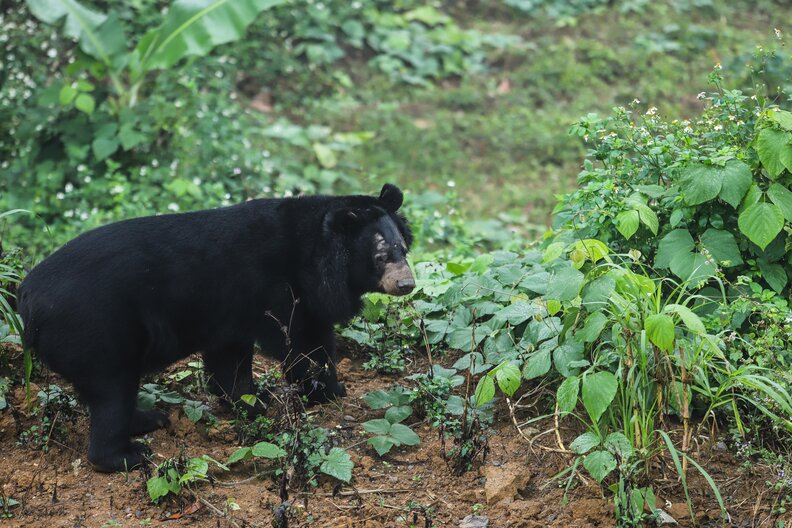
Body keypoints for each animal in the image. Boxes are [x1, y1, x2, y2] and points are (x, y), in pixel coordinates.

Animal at [18, 183, 414, 472]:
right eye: (381, 256)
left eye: (404, 249)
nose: (407, 284)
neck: (316, 251)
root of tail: (27, 300)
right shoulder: (281, 292)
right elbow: (304, 344)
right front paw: (329, 390)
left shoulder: (231, 313)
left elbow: (230, 362)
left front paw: (251, 403)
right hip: (98, 334)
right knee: (111, 393)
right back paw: (129, 454)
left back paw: (148, 419)